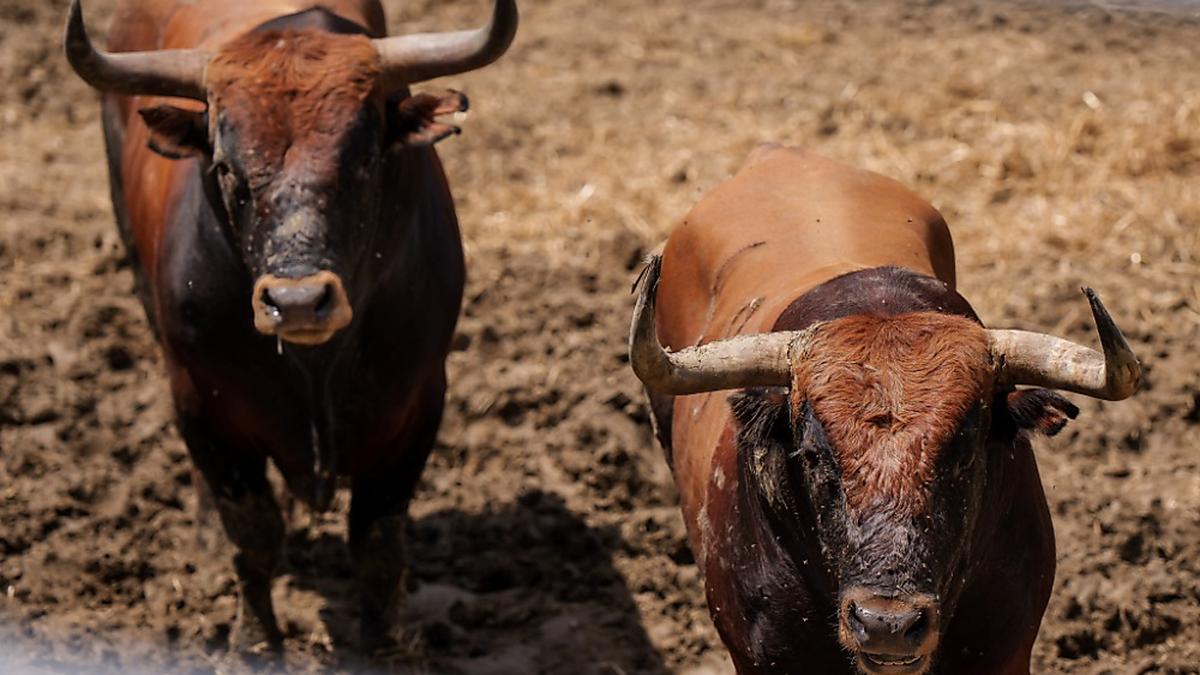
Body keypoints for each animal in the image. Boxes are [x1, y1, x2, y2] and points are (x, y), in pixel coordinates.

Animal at [64, 0, 516, 653]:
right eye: (227, 168)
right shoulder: (202, 408)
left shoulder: (418, 405)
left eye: (364, 160)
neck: (317, 365)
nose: (298, 301)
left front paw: (383, 646)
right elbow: (252, 537)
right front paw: (255, 644)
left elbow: (377, 546)